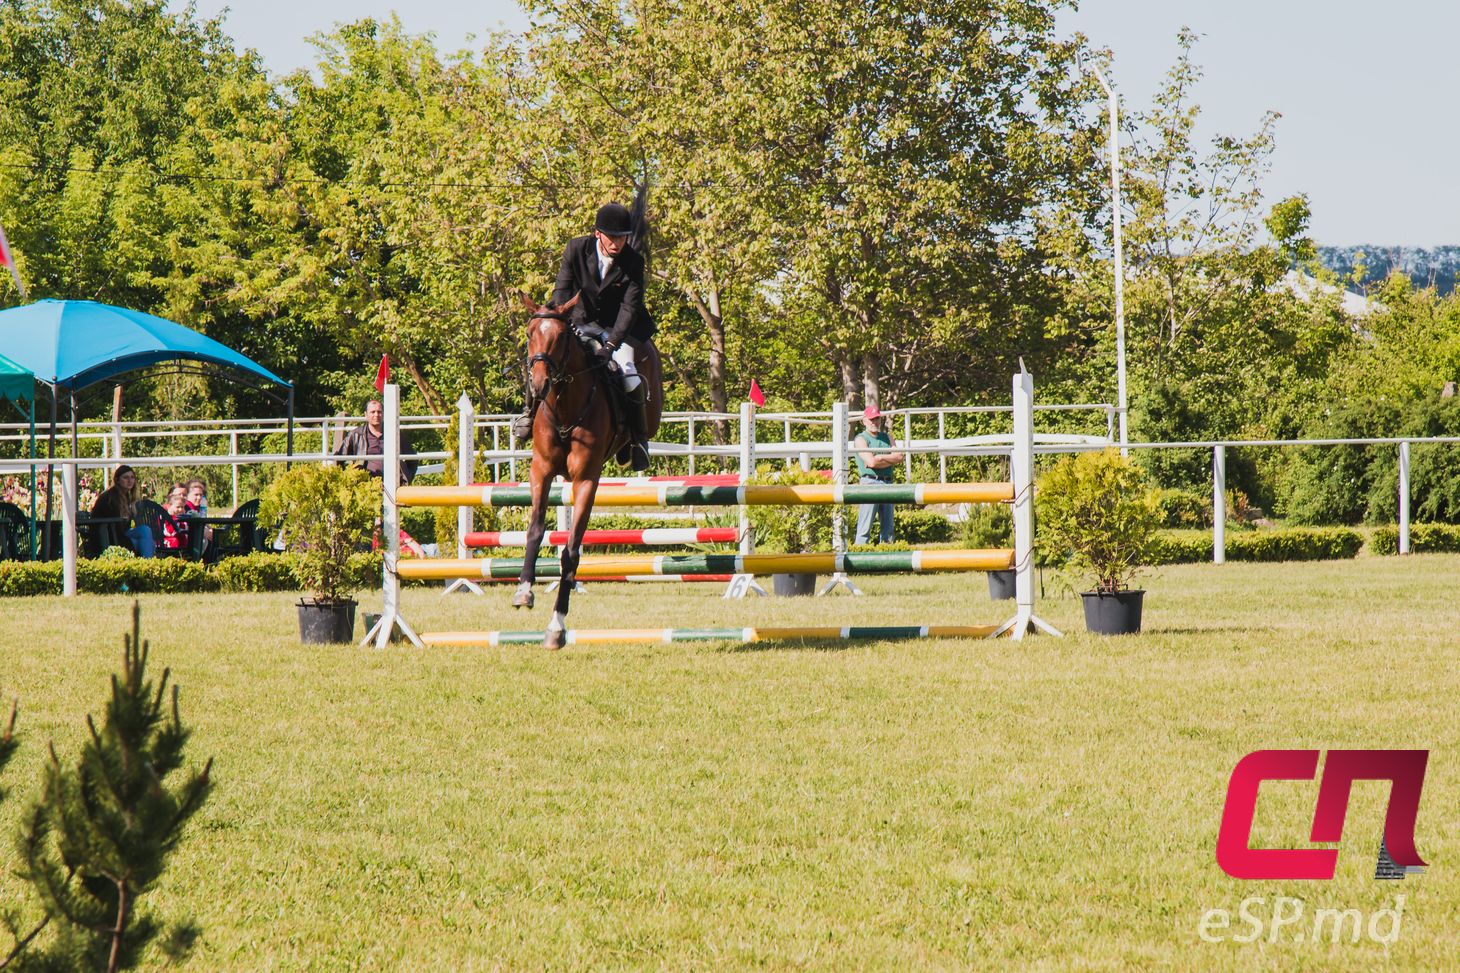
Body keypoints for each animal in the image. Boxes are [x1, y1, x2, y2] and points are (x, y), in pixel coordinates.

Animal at [513, 292, 662, 648]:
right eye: (530, 333)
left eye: (560, 337)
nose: (538, 385)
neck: (565, 407)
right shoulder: (541, 471)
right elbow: (535, 530)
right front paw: (524, 591)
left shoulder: (585, 480)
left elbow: (571, 551)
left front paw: (556, 626)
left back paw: (636, 451)